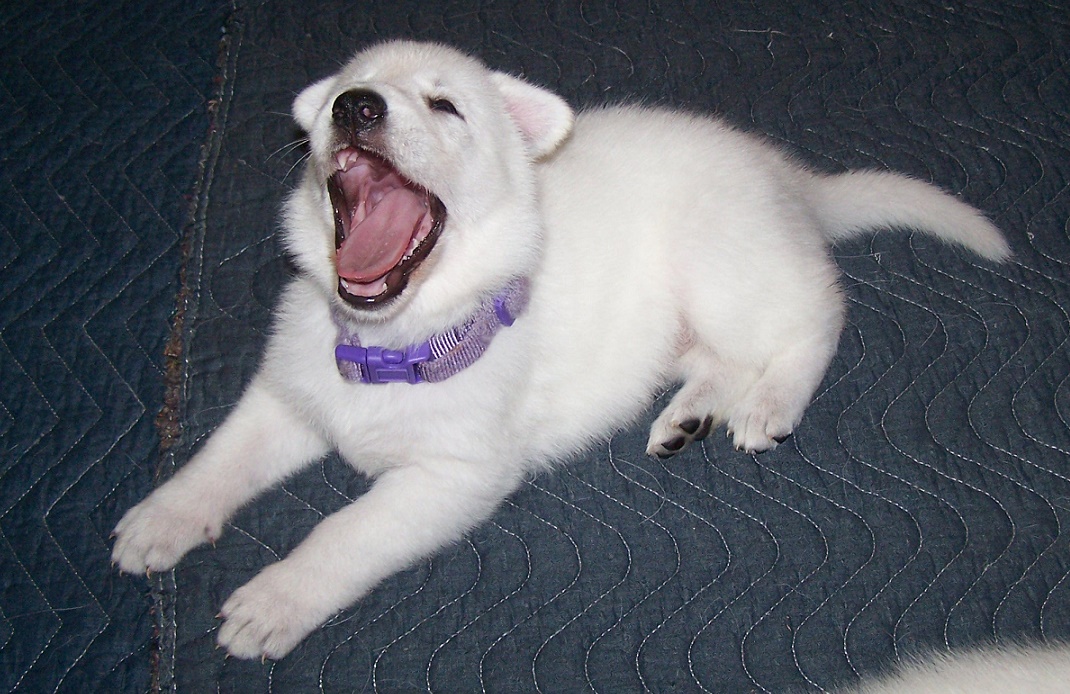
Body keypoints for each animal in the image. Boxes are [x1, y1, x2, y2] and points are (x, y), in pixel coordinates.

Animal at [112, 40, 1010, 660]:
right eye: (343, 91)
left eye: (446, 106)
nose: (356, 106)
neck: (394, 343)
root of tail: (789, 179)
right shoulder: (285, 396)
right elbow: (221, 458)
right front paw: (161, 518)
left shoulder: (454, 479)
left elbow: (344, 532)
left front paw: (274, 600)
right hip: (684, 322)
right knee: (720, 356)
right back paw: (689, 416)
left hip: (727, 264)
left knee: (817, 315)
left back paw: (770, 401)